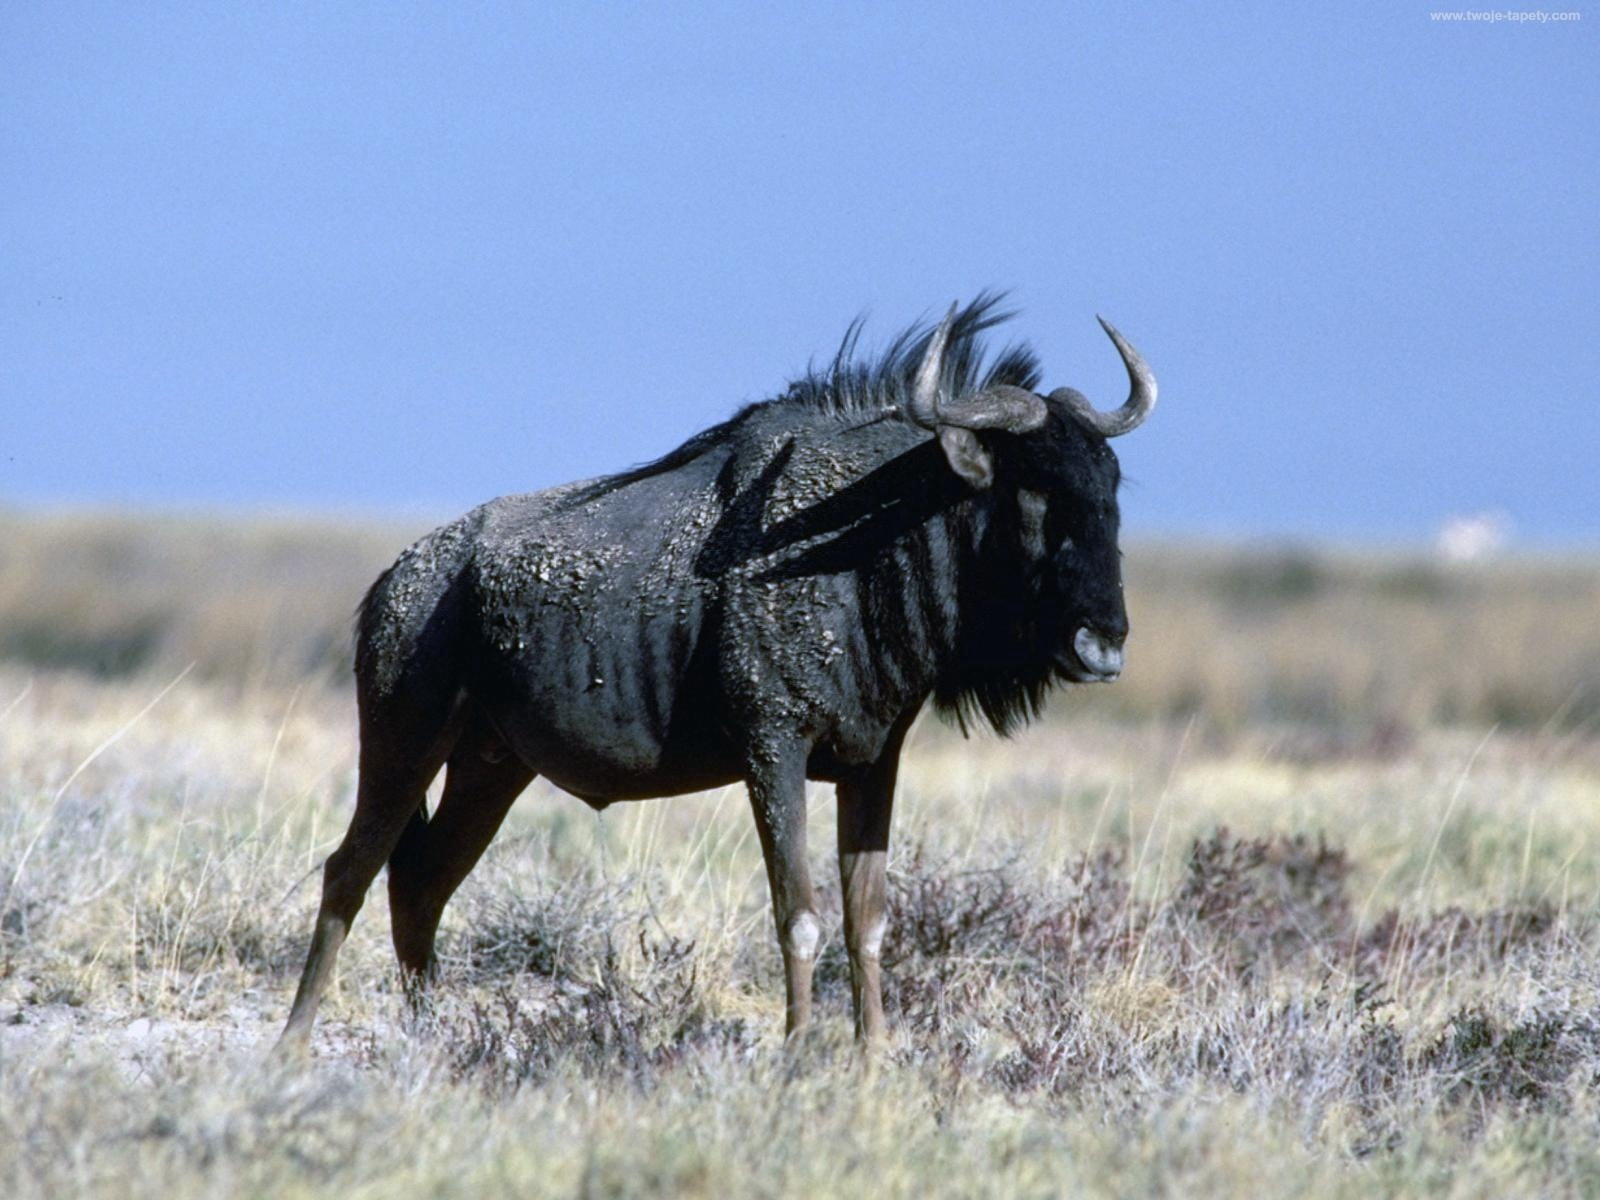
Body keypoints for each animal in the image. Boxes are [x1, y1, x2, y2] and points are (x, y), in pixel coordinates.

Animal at [279, 295, 1157, 1048]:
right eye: (1033, 489)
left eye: (1111, 486)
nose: (1104, 646)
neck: (860, 545)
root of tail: (400, 578)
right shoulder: (774, 752)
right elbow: (798, 915)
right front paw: (797, 1056)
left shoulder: (873, 763)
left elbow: (867, 920)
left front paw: (874, 1059)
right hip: (403, 742)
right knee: (351, 871)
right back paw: (295, 1041)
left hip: (490, 767)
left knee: (422, 882)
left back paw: (433, 1035)